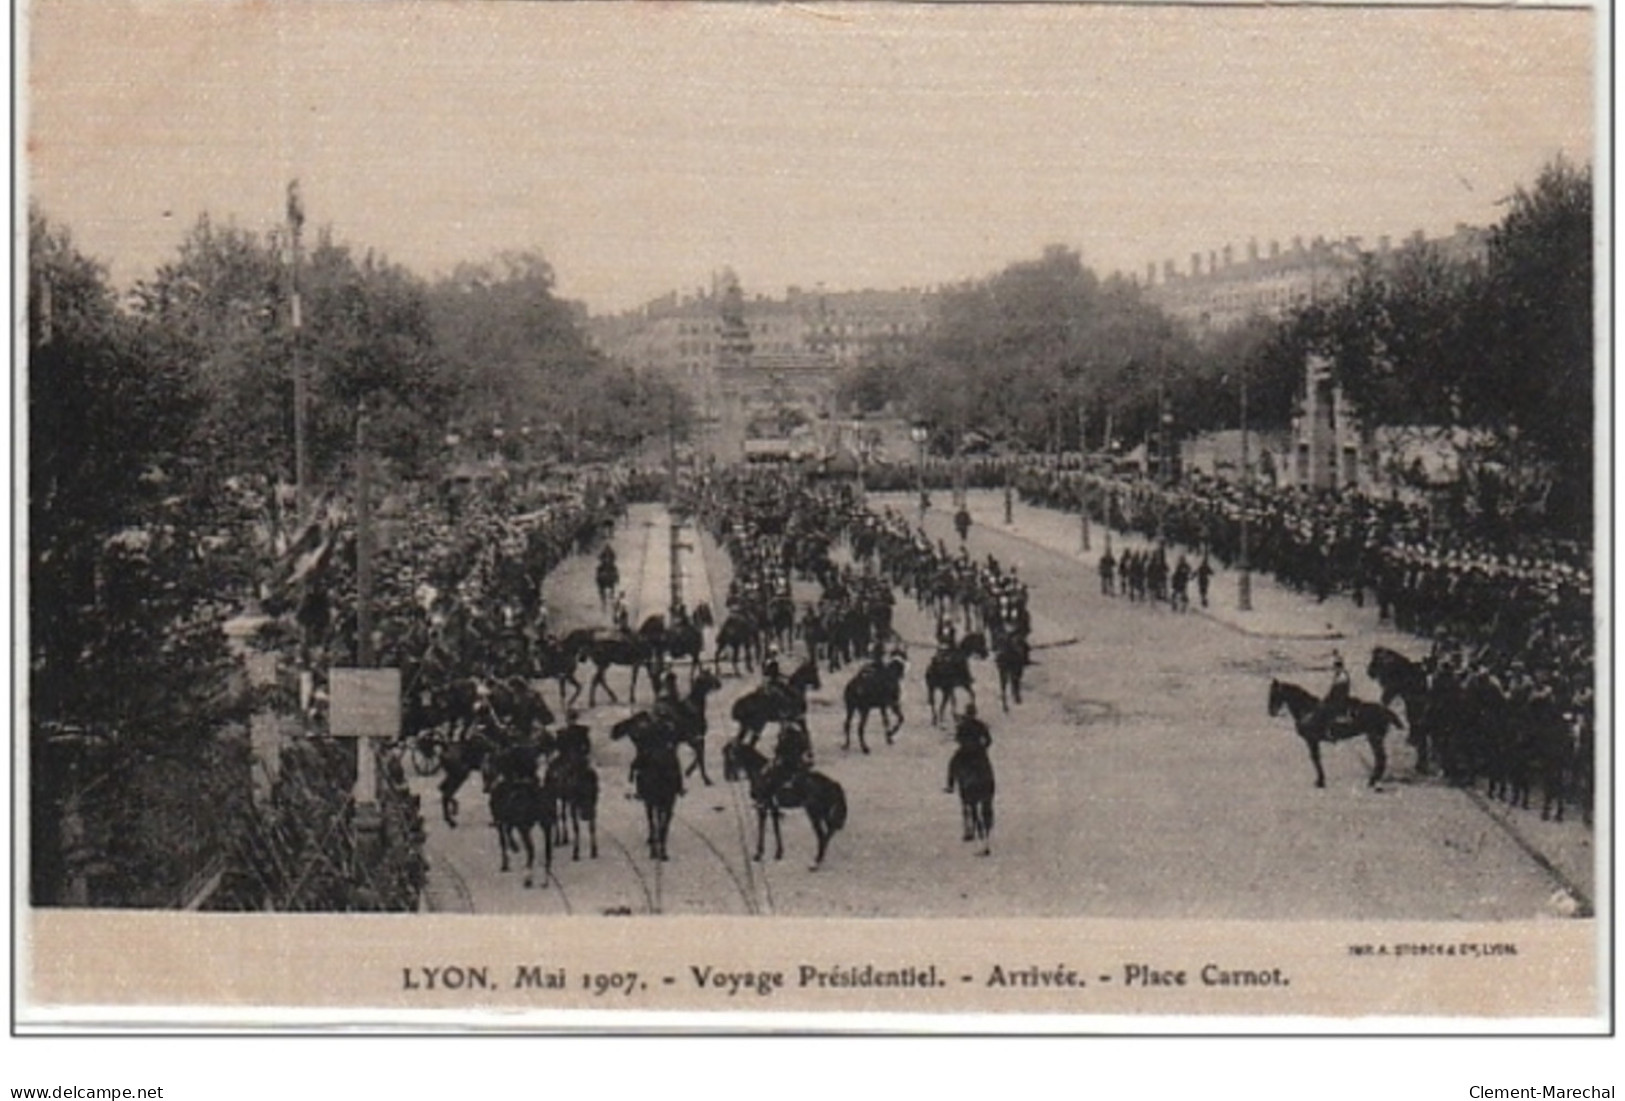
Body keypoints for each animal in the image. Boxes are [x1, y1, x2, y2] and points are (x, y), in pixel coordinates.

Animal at [611, 711, 685, 863]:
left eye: (636, 737)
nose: (615, 731)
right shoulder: (664, 802)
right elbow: (660, 825)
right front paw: (659, 850)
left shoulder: (654, 802)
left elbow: (655, 824)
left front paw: (655, 848)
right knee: (661, 824)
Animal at [724, 740, 851, 870]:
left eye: (730, 756)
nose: (727, 776)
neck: (761, 772)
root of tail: (834, 784)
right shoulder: (773, 808)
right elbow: (776, 829)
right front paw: (778, 853)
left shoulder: (763, 807)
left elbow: (761, 829)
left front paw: (758, 854)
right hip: (823, 814)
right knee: (829, 832)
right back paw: (820, 858)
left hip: (814, 814)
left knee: (823, 835)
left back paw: (816, 862)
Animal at [1261, 682, 1404, 792]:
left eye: (1274, 695)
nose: (1270, 712)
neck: (1309, 711)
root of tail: (1385, 710)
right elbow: (1316, 759)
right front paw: (1320, 780)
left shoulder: (1312, 740)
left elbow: (1316, 759)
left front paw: (1320, 781)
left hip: (1374, 738)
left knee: (1381, 759)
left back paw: (1372, 782)